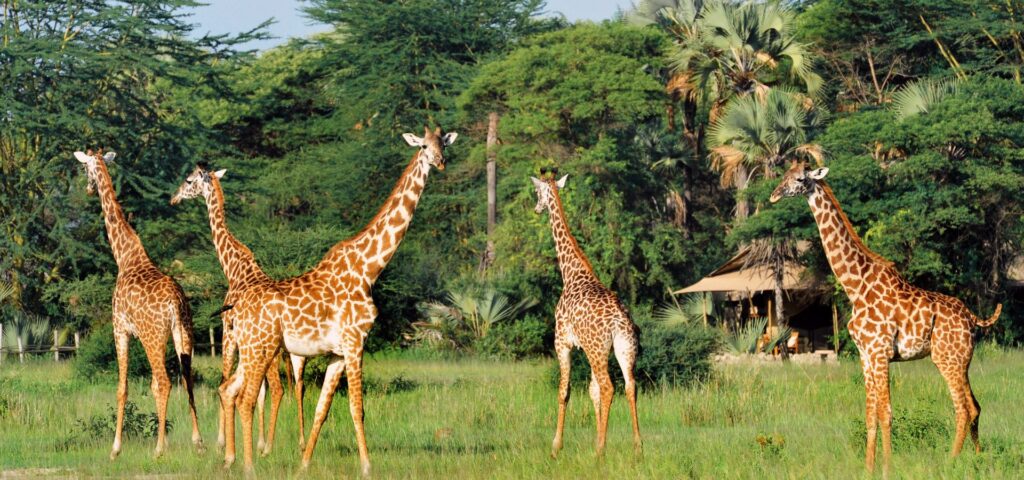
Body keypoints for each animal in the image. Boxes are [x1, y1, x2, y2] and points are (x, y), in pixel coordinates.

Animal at [73, 150, 204, 459]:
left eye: (84, 168)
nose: (88, 188)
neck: (124, 256)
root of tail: (175, 303)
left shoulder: (120, 329)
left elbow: (122, 388)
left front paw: (115, 448)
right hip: (184, 333)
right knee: (187, 378)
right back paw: (198, 442)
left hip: (153, 337)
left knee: (163, 382)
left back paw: (159, 448)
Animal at [170, 165, 290, 456]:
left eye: (188, 180)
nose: (173, 198)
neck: (233, 268)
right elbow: (251, 390)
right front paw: (252, 441)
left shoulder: (227, 331)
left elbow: (224, 379)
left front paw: (222, 442)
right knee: (275, 388)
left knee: (277, 388)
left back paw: (268, 448)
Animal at [220, 126, 458, 475]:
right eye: (424, 146)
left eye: (444, 145)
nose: (440, 162)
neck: (368, 269)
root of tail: (237, 310)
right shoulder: (356, 341)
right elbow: (358, 408)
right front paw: (367, 467)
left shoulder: (337, 353)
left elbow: (323, 408)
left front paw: (304, 464)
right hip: (260, 347)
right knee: (246, 398)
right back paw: (249, 466)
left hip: (251, 349)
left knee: (230, 391)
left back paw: (231, 460)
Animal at [530, 172, 642, 459]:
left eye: (537, 193)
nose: (537, 208)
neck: (571, 273)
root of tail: (618, 324)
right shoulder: (586, 348)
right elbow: (592, 392)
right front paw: (598, 439)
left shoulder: (562, 342)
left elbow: (564, 391)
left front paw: (556, 446)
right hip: (622, 348)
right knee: (629, 386)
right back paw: (637, 446)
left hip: (597, 349)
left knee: (609, 386)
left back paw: (600, 451)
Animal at [769, 161, 1001, 475]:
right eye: (784, 174)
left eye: (799, 179)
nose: (774, 195)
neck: (855, 286)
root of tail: (973, 318)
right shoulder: (865, 354)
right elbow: (870, 413)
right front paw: (868, 469)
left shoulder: (879, 351)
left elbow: (887, 412)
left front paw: (887, 468)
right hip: (962, 360)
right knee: (975, 405)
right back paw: (977, 458)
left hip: (946, 359)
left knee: (962, 408)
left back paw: (951, 462)